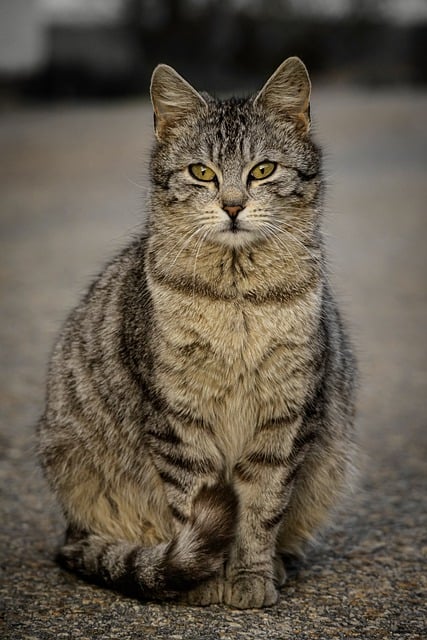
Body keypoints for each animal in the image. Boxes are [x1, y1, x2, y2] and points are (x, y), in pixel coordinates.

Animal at [36, 57, 358, 608]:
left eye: (263, 170)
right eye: (201, 173)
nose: (232, 206)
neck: (237, 298)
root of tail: (70, 530)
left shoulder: (285, 415)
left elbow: (261, 509)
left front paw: (249, 576)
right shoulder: (177, 417)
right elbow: (194, 502)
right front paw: (205, 580)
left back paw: (278, 565)